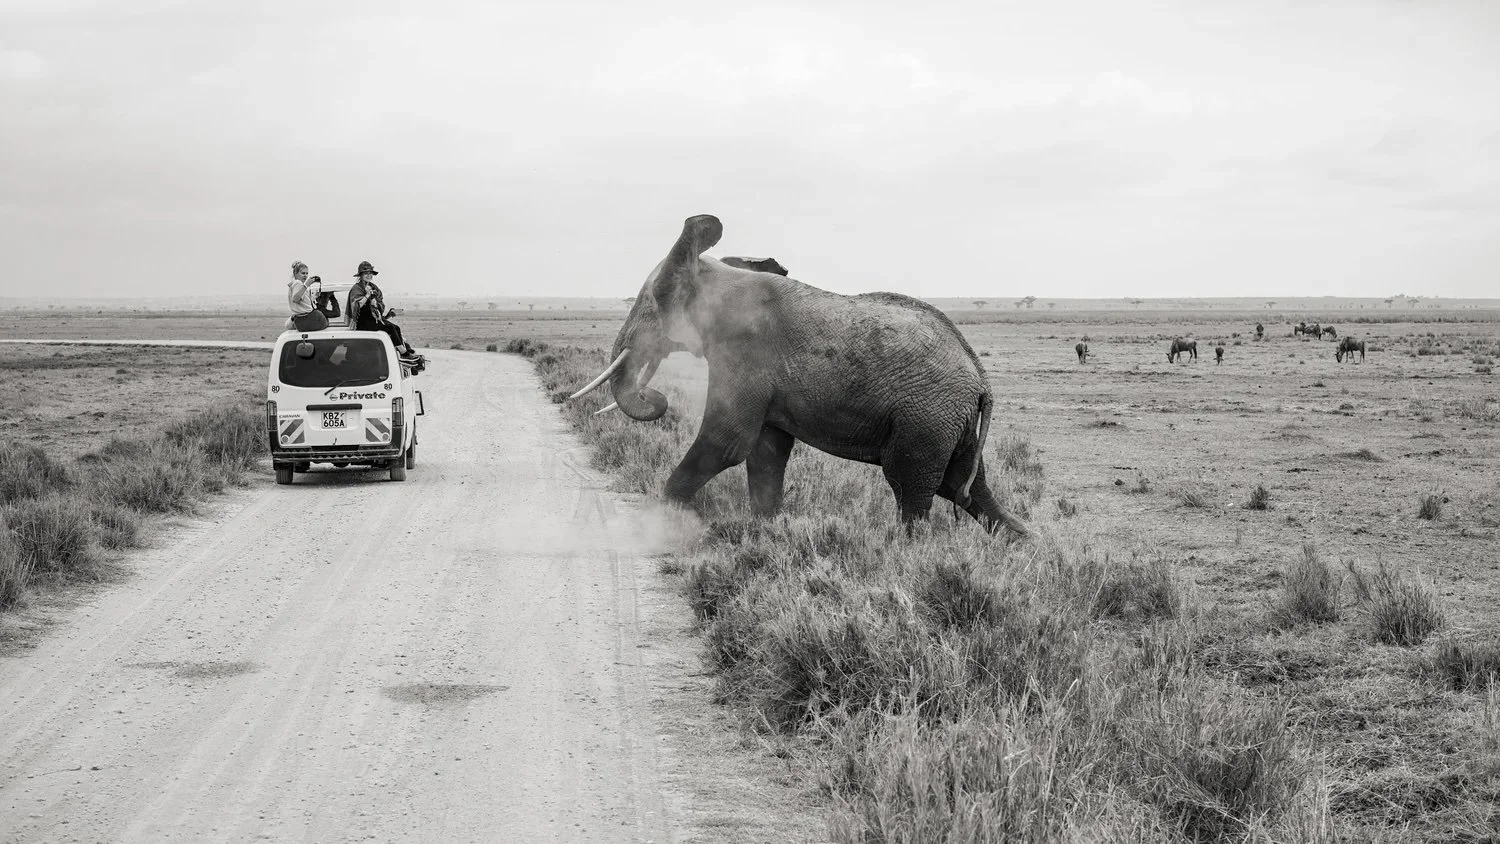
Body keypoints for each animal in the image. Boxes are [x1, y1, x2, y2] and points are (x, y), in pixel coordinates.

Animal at [569, 214, 1029, 537]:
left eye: (656, 298)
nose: (654, 397)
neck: (719, 275)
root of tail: (981, 380)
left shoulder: (745, 353)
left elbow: (727, 440)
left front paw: (660, 523)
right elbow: (766, 449)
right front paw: (766, 532)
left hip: (927, 418)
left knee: (912, 488)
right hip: (948, 423)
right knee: (963, 487)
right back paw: (1025, 546)